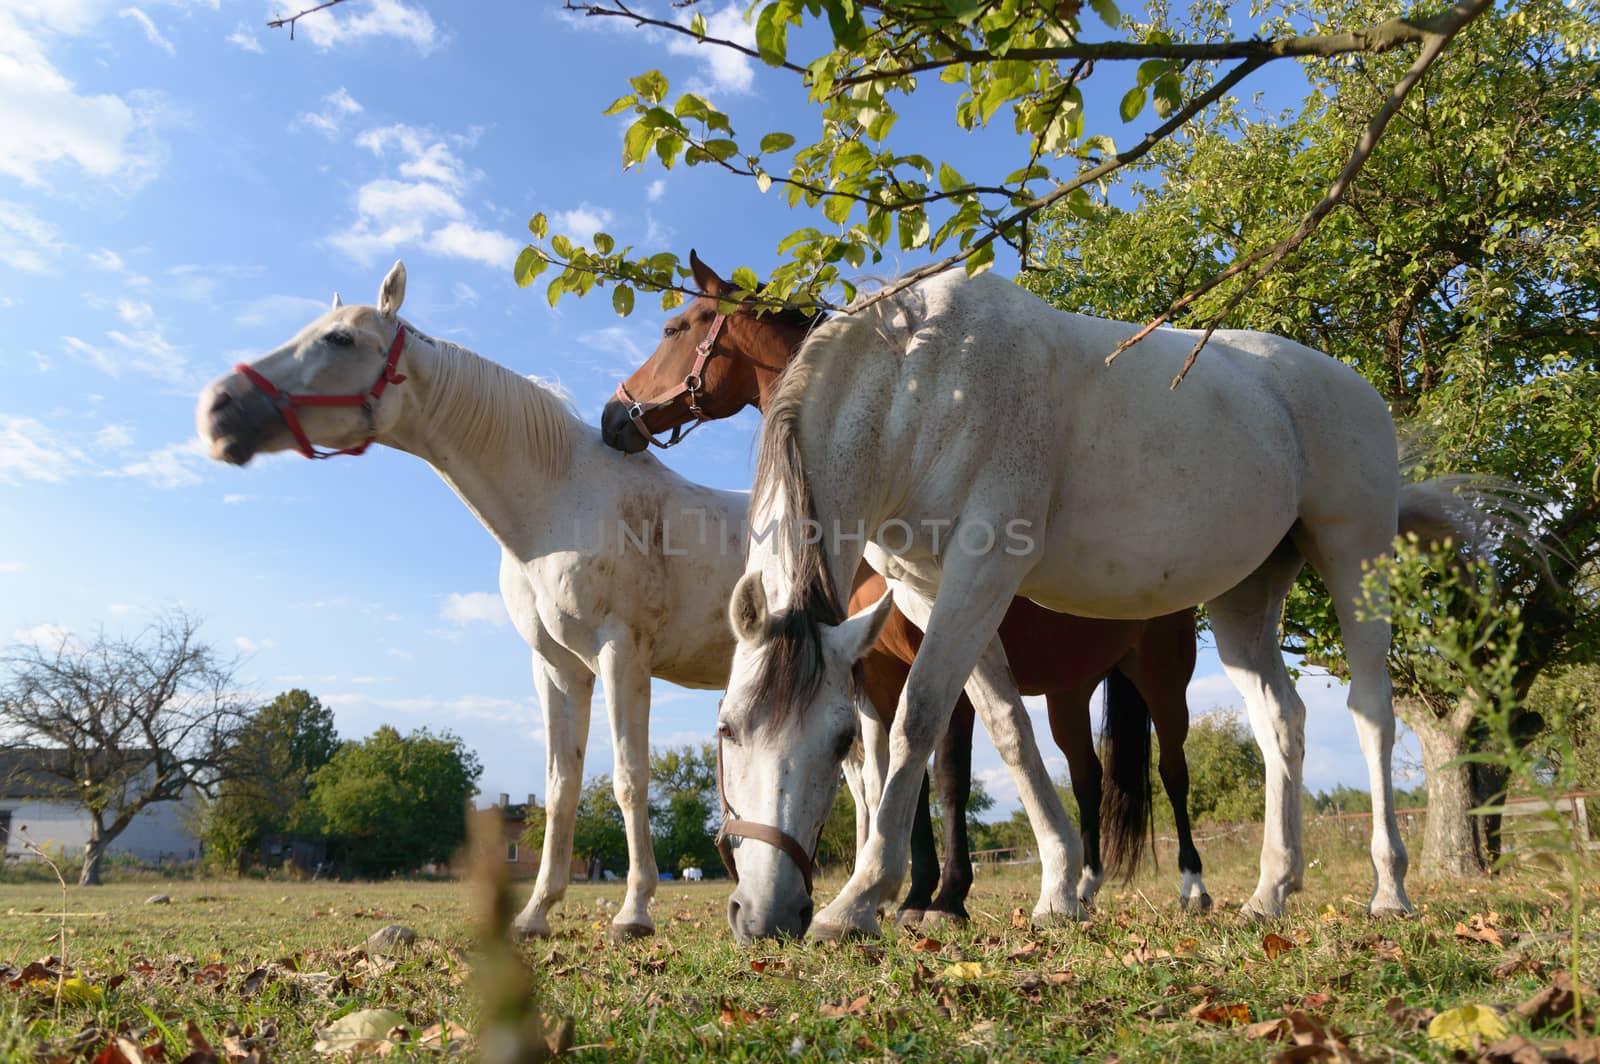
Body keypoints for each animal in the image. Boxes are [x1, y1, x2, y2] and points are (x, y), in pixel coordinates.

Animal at [195, 264, 748, 940]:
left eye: (340, 339)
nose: (218, 408)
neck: (560, 504)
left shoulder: (623, 655)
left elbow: (628, 779)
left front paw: (634, 911)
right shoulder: (559, 668)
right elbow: (560, 787)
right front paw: (536, 913)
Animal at [601, 252, 1209, 915]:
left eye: (674, 328)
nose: (613, 416)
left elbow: (945, 778)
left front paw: (943, 895)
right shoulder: (873, 676)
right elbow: (889, 775)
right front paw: (910, 891)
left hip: (1161, 675)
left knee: (1173, 768)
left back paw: (1191, 884)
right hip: (1070, 692)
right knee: (1088, 774)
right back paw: (1086, 883)